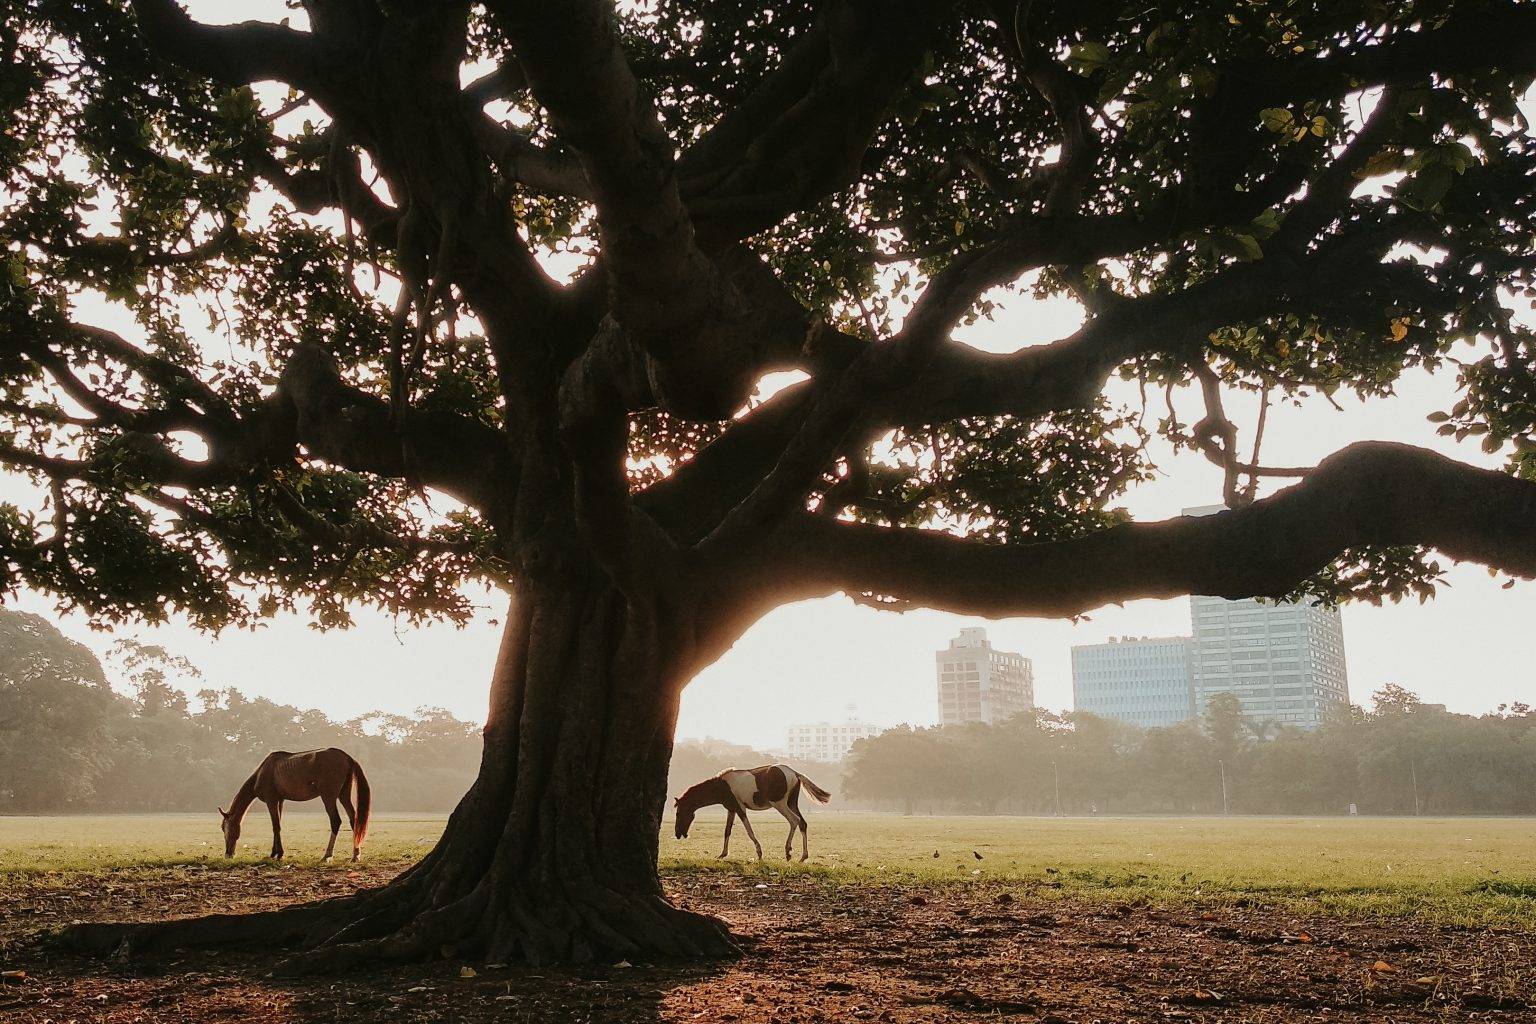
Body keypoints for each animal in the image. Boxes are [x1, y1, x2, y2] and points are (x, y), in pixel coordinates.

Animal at [218, 748, 371, 862]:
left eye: (224, 828)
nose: (228, 854)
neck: (262, 772)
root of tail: (347, 757)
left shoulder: (271, 800)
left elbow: (275, 826)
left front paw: (279, 854)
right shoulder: (280, 801)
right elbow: (277, 826)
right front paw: (274, 853)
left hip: (328, 796)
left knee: (335, 821)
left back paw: (327, 855)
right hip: (343, 794)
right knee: (353, 819)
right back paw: (355, 855)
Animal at [673, 764, 831, 862]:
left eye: (679, 813)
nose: (678, 834)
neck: (722, 786)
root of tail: (794, 773)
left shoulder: (740, 809)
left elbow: (749, 831)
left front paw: (759, 854)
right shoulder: (731, 809)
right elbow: (727, 831)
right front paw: (722, 854)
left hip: (780, 804)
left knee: (794, 821)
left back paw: (788, 852)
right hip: (791, 803)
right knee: (803, 823)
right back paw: (803, 856)